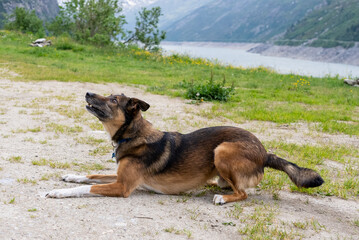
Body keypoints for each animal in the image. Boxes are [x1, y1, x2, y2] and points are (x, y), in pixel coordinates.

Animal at [46, 92, 324, 204]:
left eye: (113, 100)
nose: (87, 92)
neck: (133, 135)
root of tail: (264, 152)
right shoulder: (118, 176)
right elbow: (90, 174)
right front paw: (70, 176)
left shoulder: (123, 186)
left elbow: (87, 187)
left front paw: (57, 192)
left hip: (222, 150)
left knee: (243, 193)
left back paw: (223, 198)